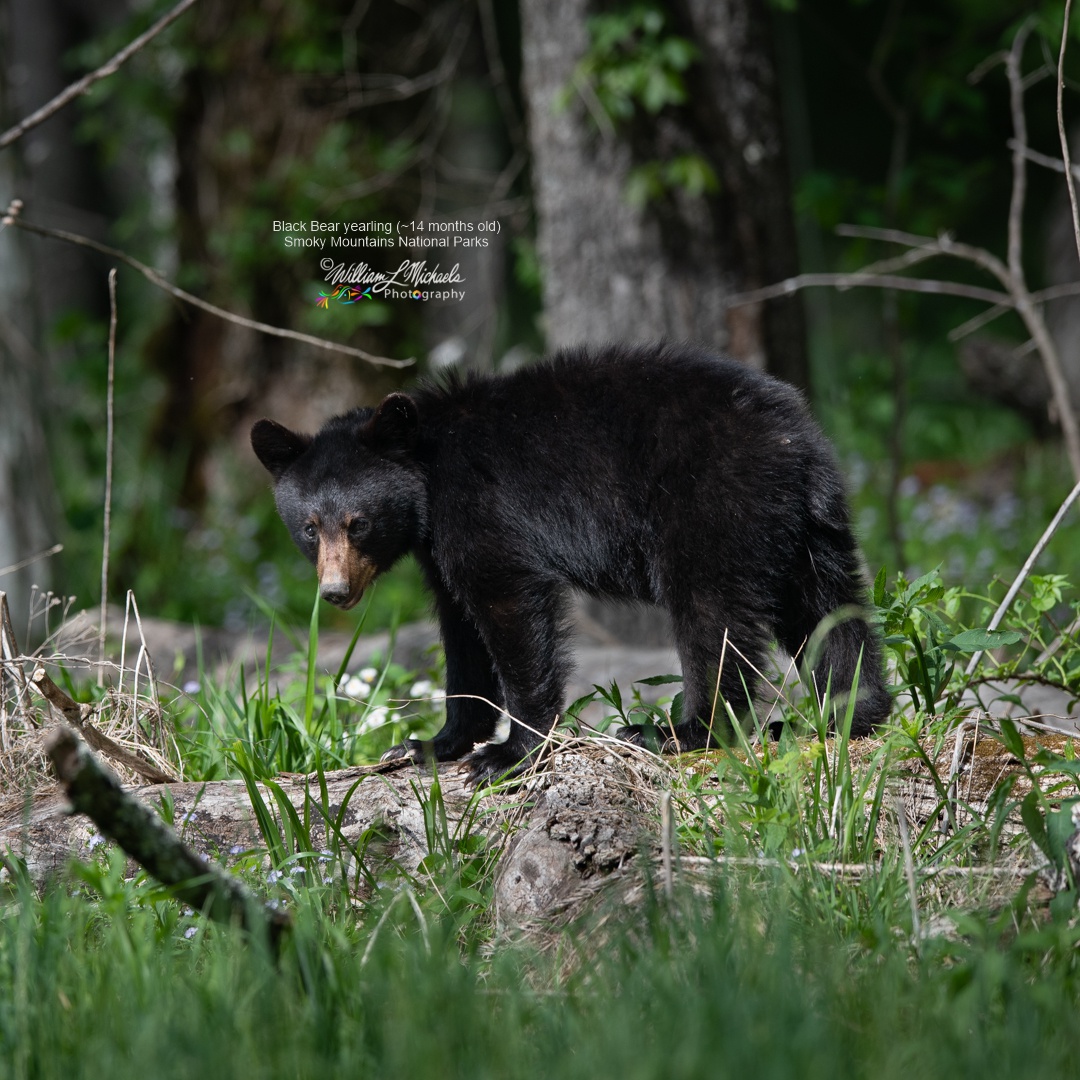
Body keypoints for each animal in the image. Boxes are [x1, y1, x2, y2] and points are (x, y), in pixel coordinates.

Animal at [254, 341, 894, 781]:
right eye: (309, 528)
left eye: (358, 522)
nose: (335, 592)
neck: (428, 478)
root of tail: (796, 440)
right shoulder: (438, 549)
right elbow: (461, 632)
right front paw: (429, 744)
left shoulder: (481, 511)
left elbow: (508, 605)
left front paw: (507, 753)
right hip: (805, 530)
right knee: (831, 610)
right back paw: (848, 711)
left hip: (713, 504)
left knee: (713, 616)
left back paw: (678, 731)